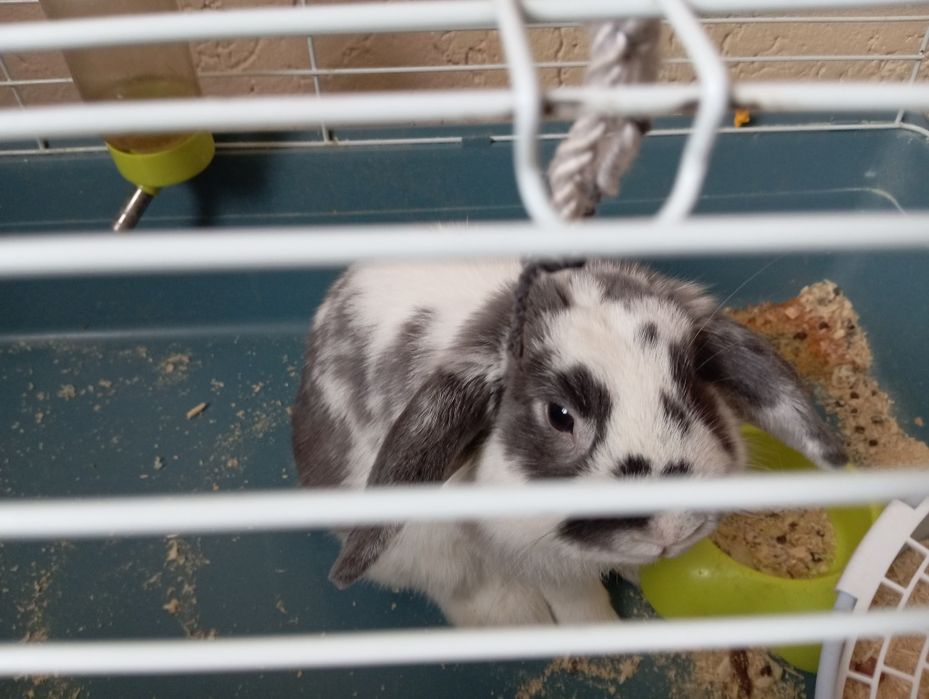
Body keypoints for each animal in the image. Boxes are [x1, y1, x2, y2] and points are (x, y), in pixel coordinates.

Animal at [291, 258, 846, 626]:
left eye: (694, 379)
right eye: (559, 416)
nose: (671, 529)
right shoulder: (542, 560)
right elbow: (580, 602)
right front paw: (601, 635)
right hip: (422, 551)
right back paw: (518, 619)